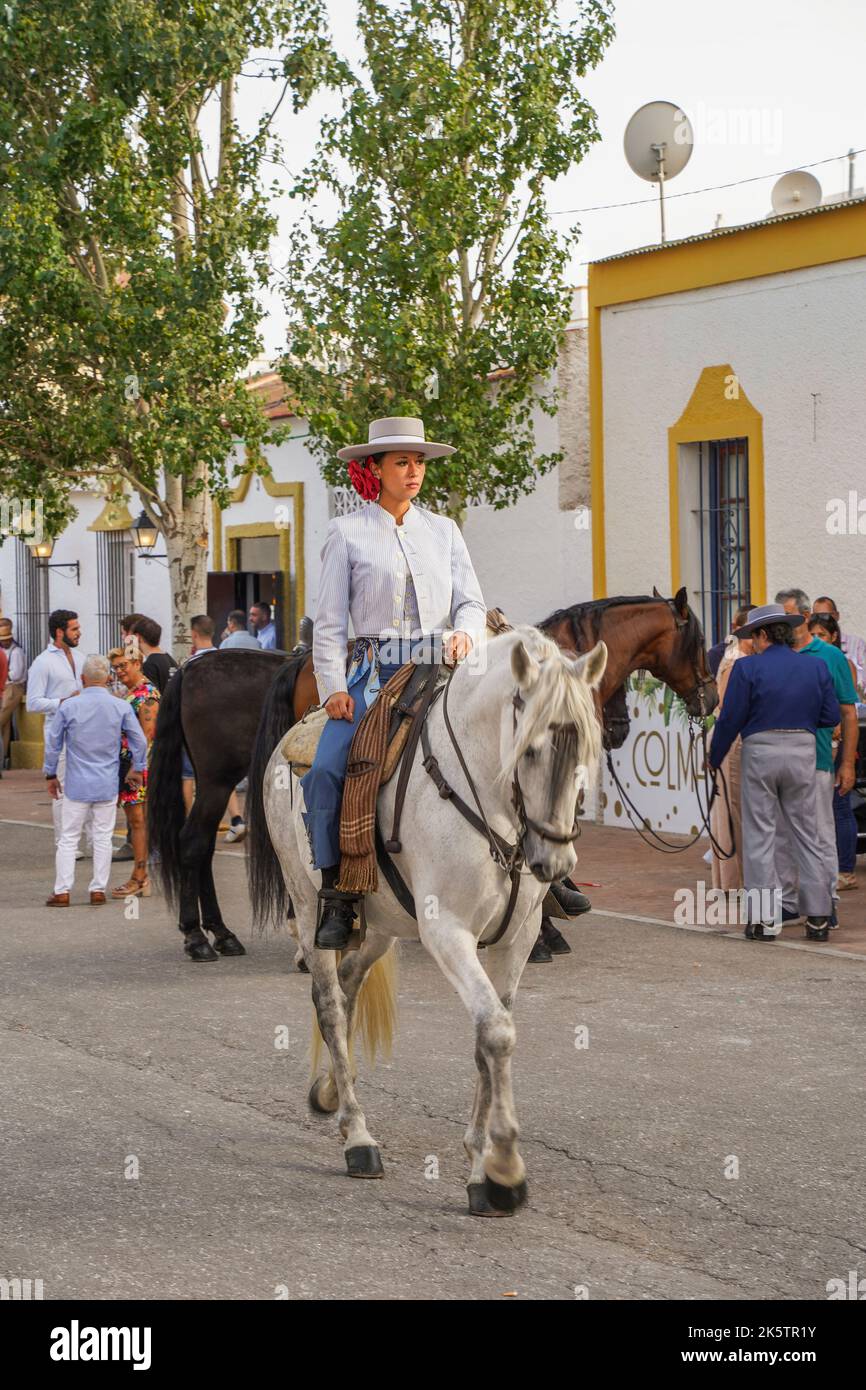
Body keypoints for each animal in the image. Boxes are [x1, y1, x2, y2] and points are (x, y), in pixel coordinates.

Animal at [148, 583, 717, 956]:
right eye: (696, 642)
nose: (710, 698)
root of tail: (188, 667)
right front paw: (549, 926)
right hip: (217, 780)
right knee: (197, 843)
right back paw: (210, 935)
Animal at [254, 628, 606, 1217]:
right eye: (531, 748)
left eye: (586, 749)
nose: (555, 863)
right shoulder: (448, 933)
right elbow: (497, 1032)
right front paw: (505, 1169)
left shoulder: (516, 940)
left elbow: (490, 1034)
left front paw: (482, 1167)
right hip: (307, 905)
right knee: (329, 1002)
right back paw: (358, 1137)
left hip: (380, 925)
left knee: (349, 983)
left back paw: (330, 1091)